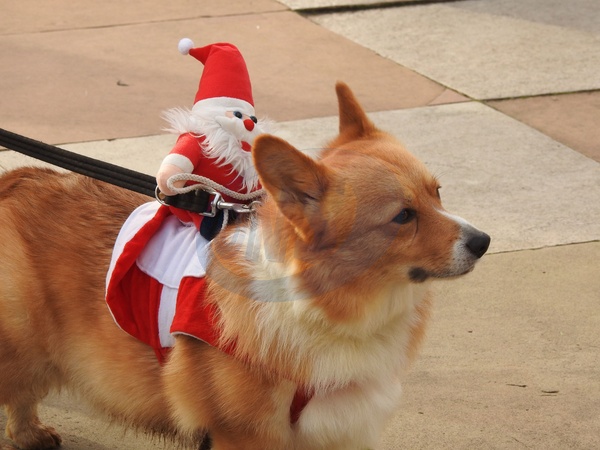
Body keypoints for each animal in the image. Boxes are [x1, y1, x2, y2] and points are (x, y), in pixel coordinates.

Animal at [0, 82, 489, 450]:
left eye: (437, 192)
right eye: (402, 216)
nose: (483, 242)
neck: (329, 306)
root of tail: (14, 179)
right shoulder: (244, 434)